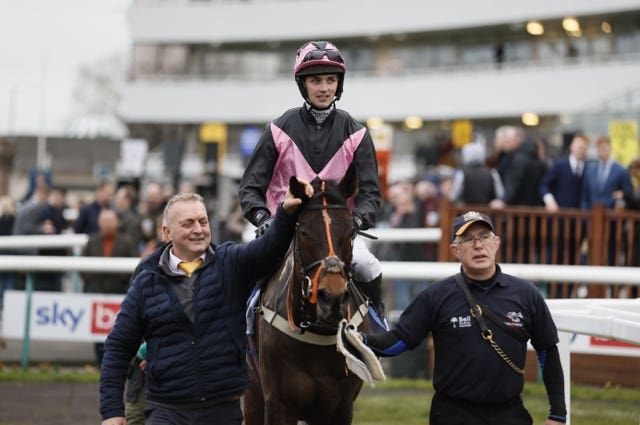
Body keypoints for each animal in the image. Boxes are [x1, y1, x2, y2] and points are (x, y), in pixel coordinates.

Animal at [245, 166, 376, 424]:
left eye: (351, 232)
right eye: (304, 231)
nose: (332, 298)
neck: (317, 331)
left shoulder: (341, 407)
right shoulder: (278, 404)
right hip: (252, 392)